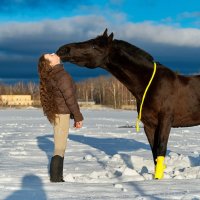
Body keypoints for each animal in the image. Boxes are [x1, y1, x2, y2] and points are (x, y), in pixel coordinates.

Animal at [56, 28, 200, 179]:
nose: (63, 49)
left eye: (95, 46)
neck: (151, 84)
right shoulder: (149, 125)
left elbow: (160, 149)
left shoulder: (165, 120)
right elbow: (154, 152)